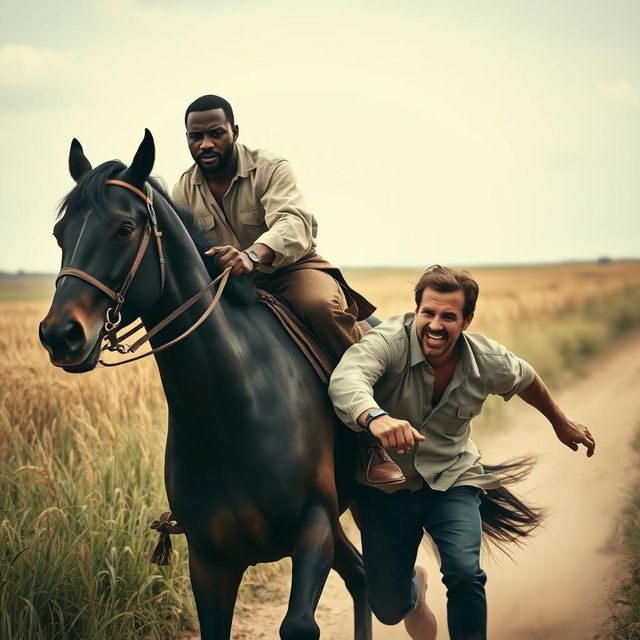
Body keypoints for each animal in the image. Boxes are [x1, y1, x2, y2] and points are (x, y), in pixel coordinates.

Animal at [38, 132, 540, 636]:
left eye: (124, 229)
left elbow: (299, 625)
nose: (60, 335)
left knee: (377, 585)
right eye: (60, 234)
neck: (230, 406)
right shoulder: (209, 562)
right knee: (368, 581)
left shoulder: (314, 527)